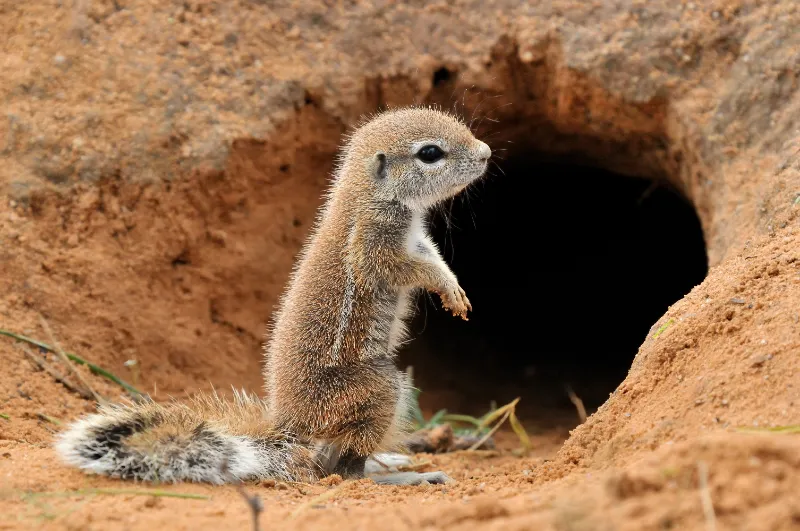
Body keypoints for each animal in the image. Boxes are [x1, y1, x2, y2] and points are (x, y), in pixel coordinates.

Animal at [54, 106, 488, 488]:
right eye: (430, 153)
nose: (485, 153)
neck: (370, 196)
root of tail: (292, 427)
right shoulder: (373, 245)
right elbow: (407, 269)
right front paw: (443, 284)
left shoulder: (418, 239)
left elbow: (432, 256)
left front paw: (454, 287)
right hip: (379, 388)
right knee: (342, 471)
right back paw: (403, 476)